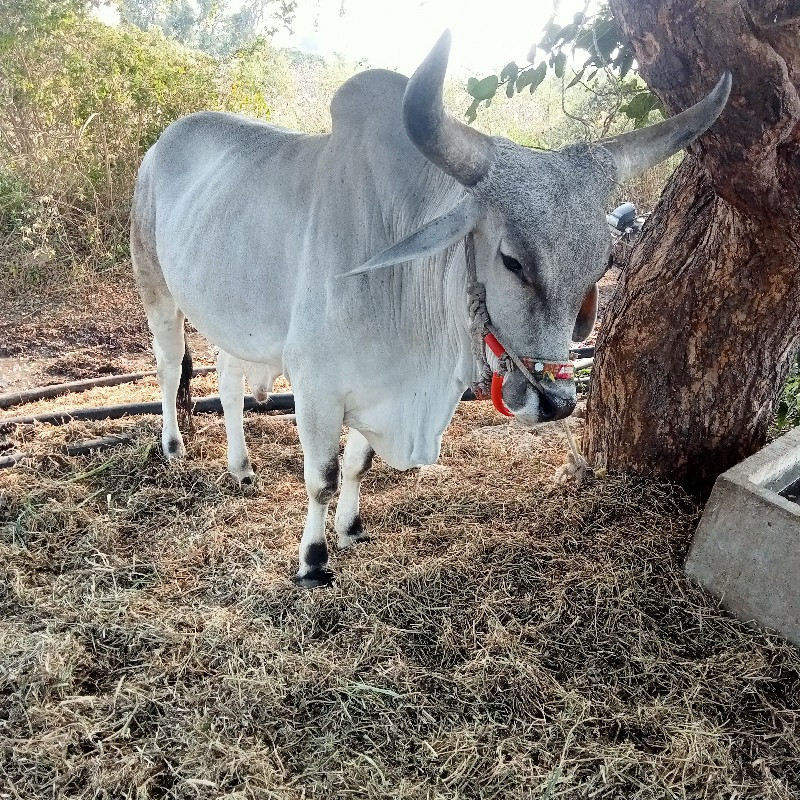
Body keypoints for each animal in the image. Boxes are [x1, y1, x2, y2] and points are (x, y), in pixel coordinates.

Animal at [133, 32, 732, 588]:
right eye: (513, 261)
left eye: (603, 261)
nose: (557, 403)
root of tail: (163, 142)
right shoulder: (316, 389)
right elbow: (322, 478)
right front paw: (313, 560)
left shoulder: (376, 390)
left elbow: (358, 465)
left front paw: (351, 530)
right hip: (155, 286)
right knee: (167, 367)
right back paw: (173, 447)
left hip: (236, 321)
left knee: (229, 378)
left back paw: (240, 468)